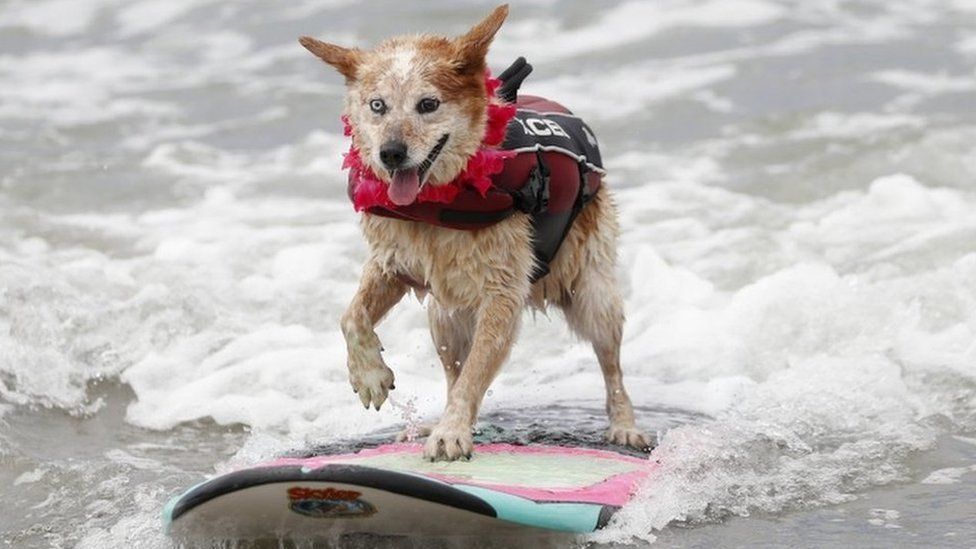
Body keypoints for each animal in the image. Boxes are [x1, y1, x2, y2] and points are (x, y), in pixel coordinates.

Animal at [298, 4, 648, 460]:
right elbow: (351, 316)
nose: (390, 154)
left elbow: (476, 374)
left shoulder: (502, 294)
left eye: (428, 104)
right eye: (377, 105)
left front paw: (451, 434)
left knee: (612, 367)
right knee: (452, 371)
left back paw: (625, 426)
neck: (441, 200)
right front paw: (370, 375)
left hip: (593, 293)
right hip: (444, 318)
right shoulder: (392, 263)